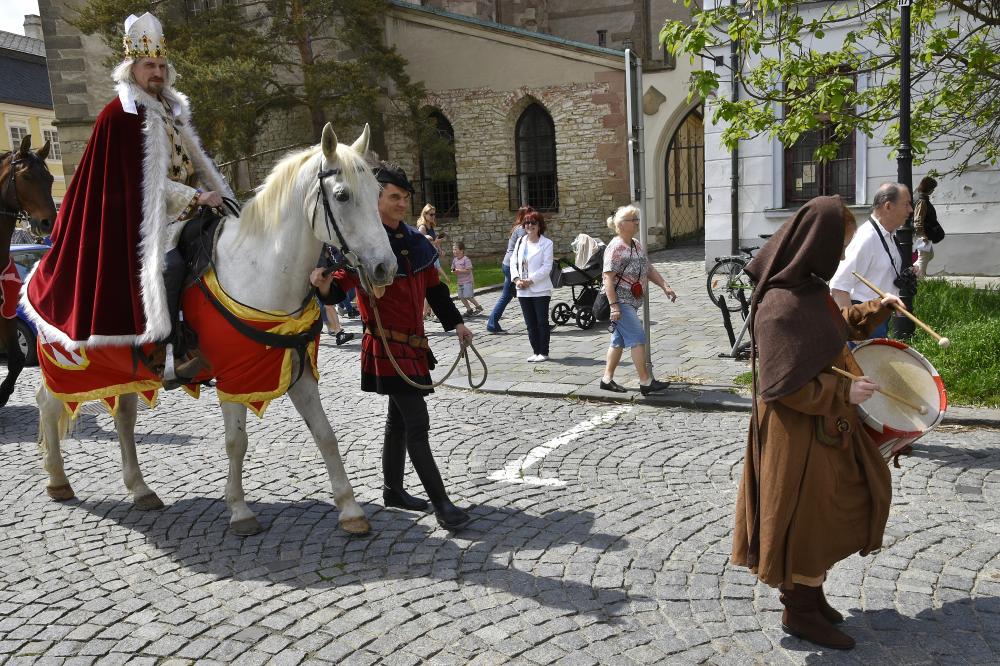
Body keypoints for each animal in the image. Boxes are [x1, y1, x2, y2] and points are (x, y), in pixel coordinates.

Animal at [36, 120, 394, 536]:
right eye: (342, 195)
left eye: (378, 193)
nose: (385, 267)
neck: (259, 271)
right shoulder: (234, 376)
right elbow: (236, 442)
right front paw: (239, 510)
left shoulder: (298, 371)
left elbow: (326, 434)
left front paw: (350, 509)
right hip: (69, 366)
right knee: (47, 404)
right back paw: (57, 479)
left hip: (124, 371)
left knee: (124, 417)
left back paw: (140, 489)